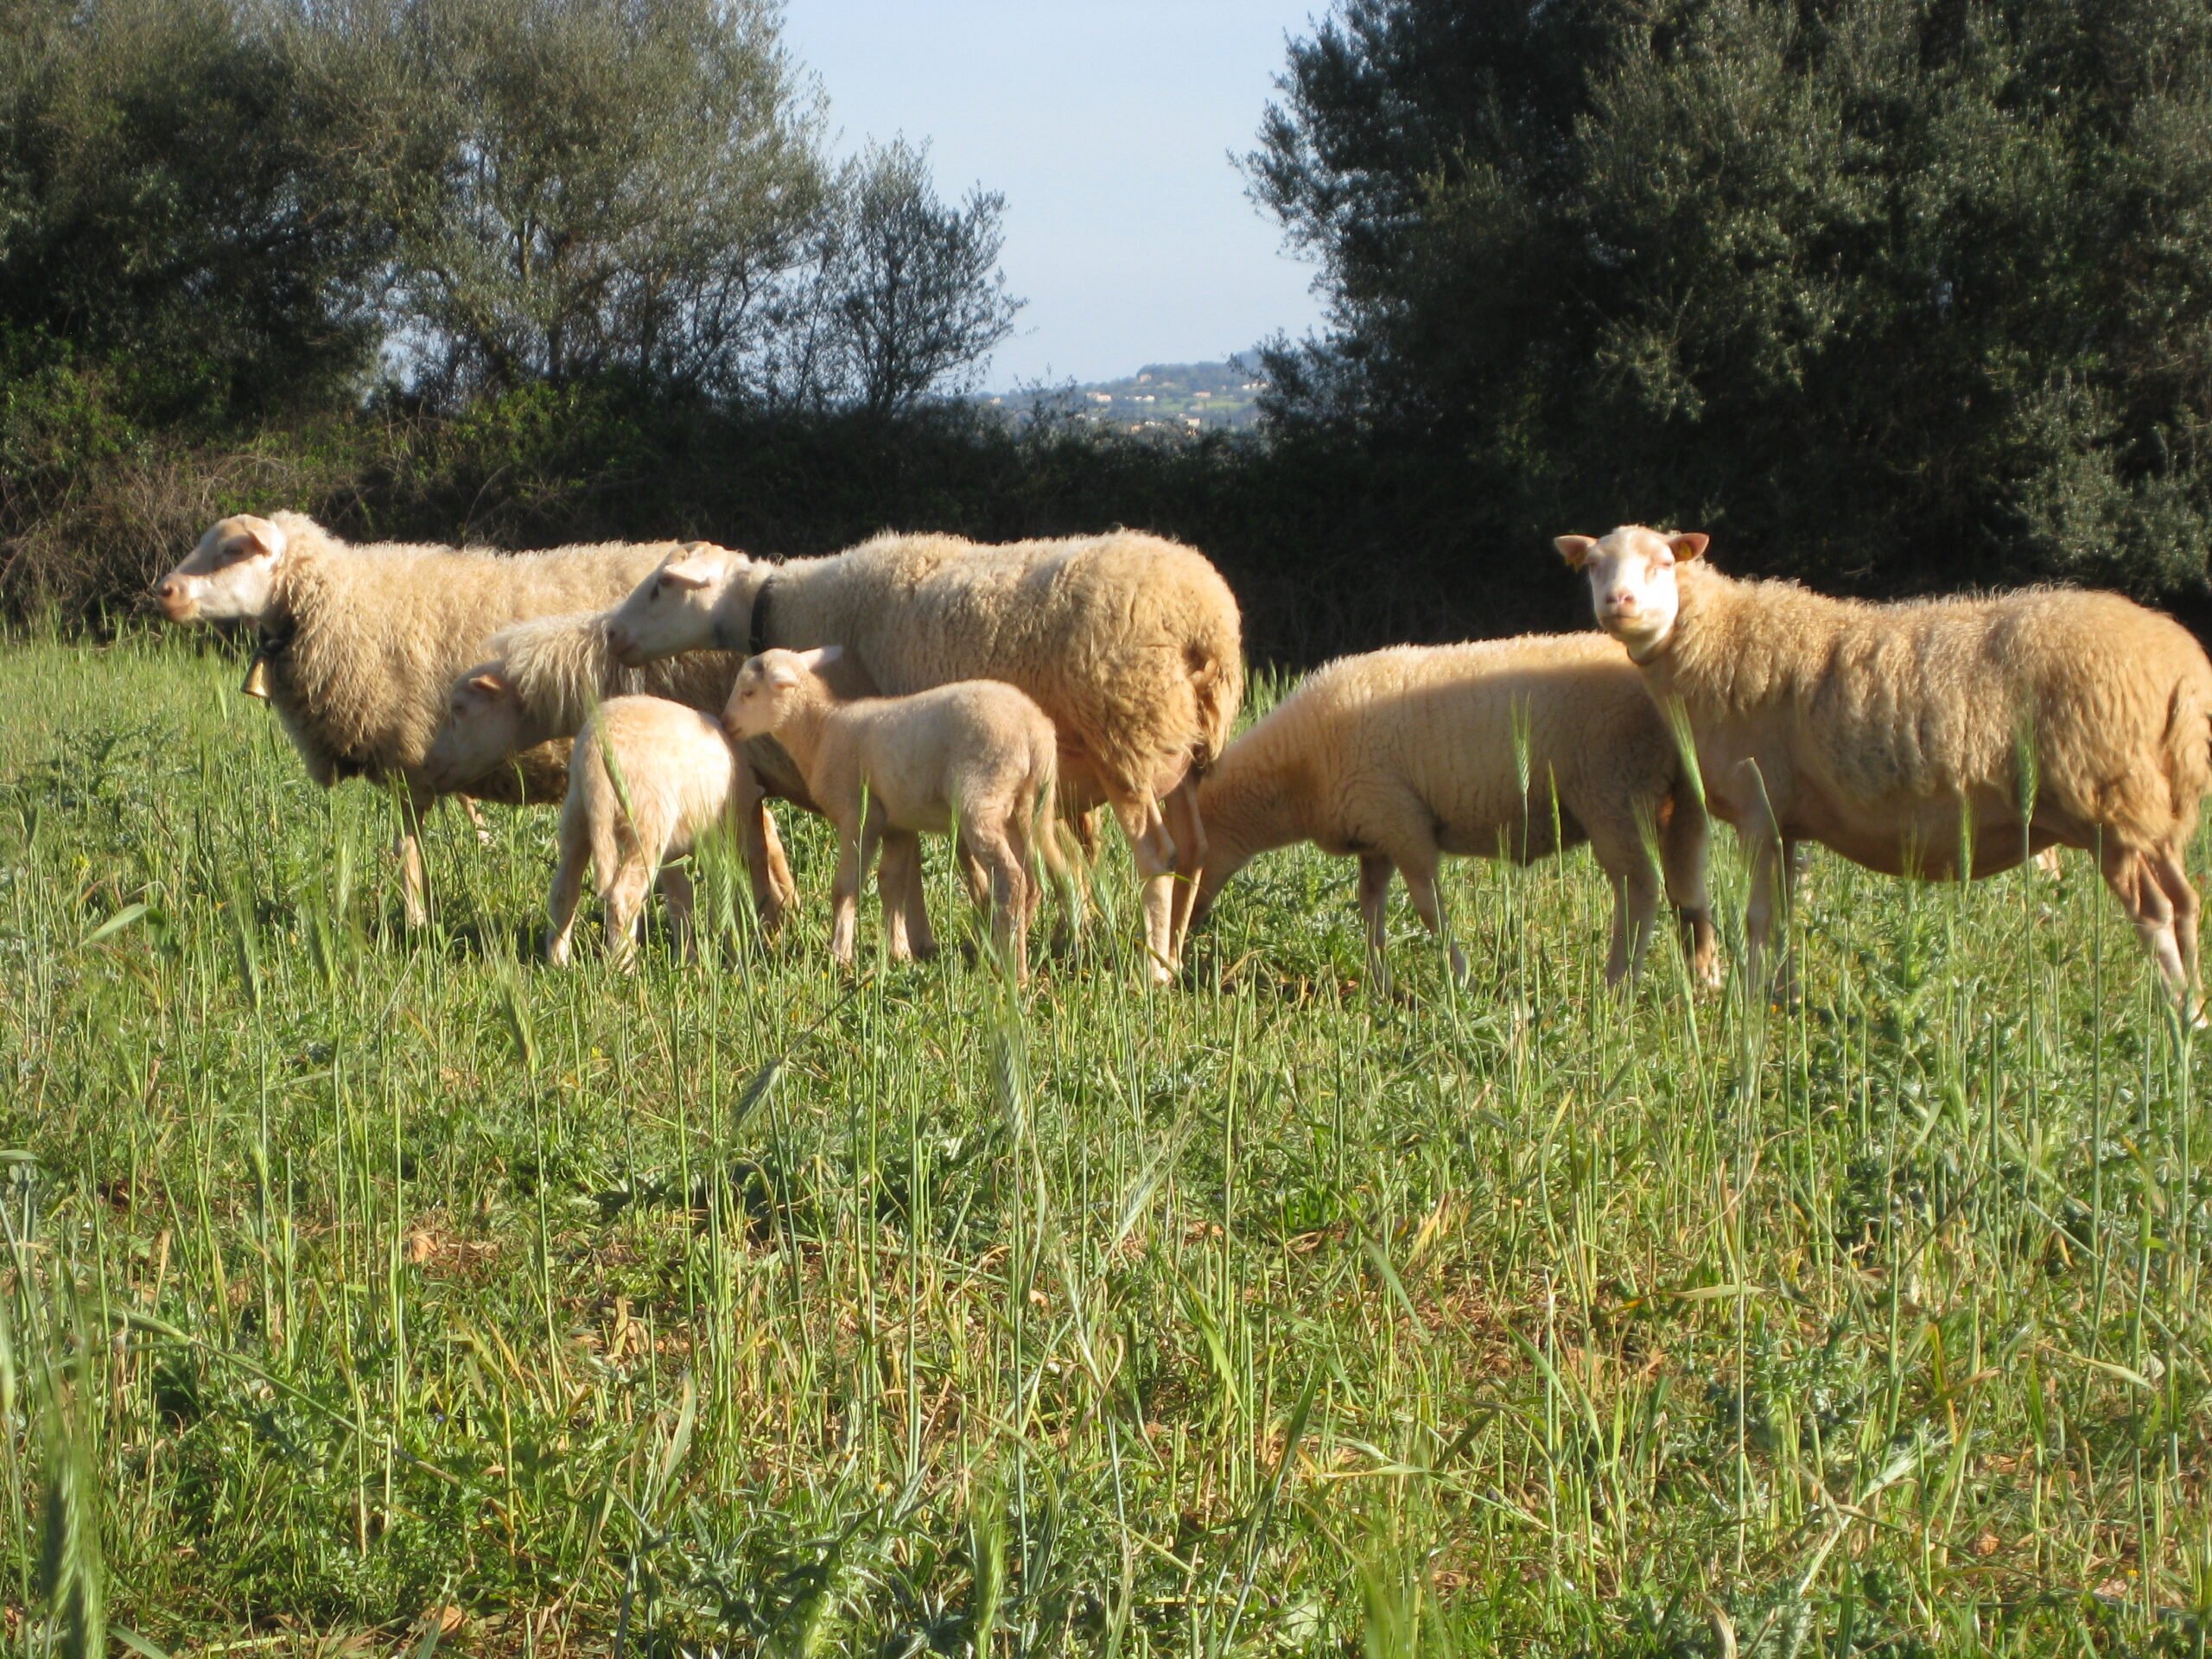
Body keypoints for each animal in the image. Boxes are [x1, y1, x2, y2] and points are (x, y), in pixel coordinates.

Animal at [153, 512, 719, 924]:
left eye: (233, 550)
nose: (164, 591)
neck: (343, 603)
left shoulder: (409, 758)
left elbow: (408, 854)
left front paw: (415, 924)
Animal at [545, 697, 753, 969]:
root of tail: (596, 753)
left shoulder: (674, 852)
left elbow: (680, 899)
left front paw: (687, 960)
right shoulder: (725, 838)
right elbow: (728, 895)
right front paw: (735, 959)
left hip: (577, 814)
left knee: (564, 889)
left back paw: (558, 962)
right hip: (646, 821)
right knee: (623, 896)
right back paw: (624, 967)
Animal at [722, 647, 1070, 984]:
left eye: (749, 692)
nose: (726, 724)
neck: (821, 729)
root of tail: (1031, 726)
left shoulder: (858, 816)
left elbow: (846, 887)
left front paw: (840, 955)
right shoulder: (896, 824)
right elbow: (890, 883)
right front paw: (898, 953)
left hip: (983, 795)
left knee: (1009, 876)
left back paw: (1015, 970)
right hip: (1029, 807)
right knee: (1032, 881)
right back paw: (1001, 952)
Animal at [1189, 637, 1719, 992]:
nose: (1182, 932)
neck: (1296, 776)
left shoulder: (1402, 823)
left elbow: (1429, 908)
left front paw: (1458, 978)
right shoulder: (1375, 834)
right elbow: (1371, 908)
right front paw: (1381, 982)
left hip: (1613, 789)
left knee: (1639, 889)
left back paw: (1617, 985)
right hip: (1679, 798)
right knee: (1688, 891)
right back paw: (1705, 979)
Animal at [1557, 525, 2212, 1015]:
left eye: (1664, 562)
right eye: (1593, 567)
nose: (1618, 603)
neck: (1718, 640)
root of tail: (2183, 666)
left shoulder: (1757, 806)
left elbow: (1759, 918)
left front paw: (1748, 1010)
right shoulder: (1786, 821)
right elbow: (1786, 916)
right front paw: (1782, 1000)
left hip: (2112, 804)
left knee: (2155, 913)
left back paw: (2175, 1017)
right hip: (2154, 815)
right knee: (2185, 904)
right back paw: (2197, 1012)